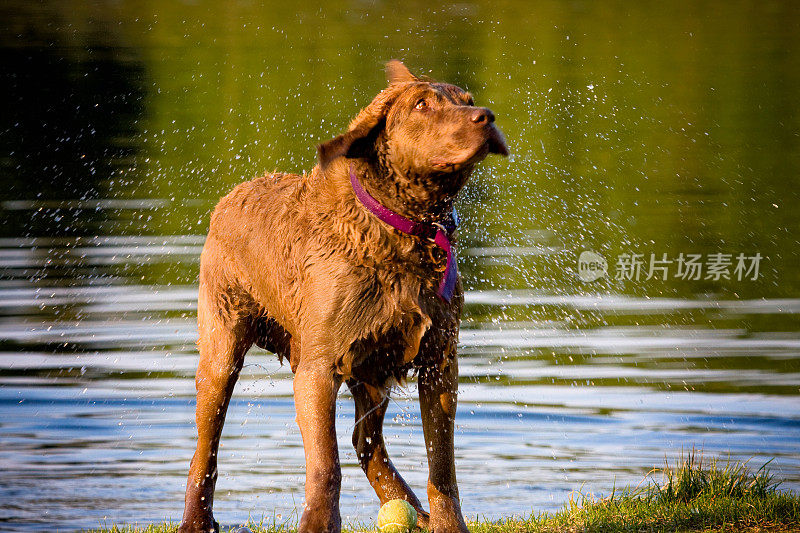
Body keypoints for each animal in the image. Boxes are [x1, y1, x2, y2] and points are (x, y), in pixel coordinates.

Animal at [180, 60, 506, 528]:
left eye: (467, 100)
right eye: (422, 105)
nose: (487, 116)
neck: (401, 233)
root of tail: (229, 197)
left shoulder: (440, 360)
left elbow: (442, 464)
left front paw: (448, 524)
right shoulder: (317, 370)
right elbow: (325, 463)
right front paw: (318, 524)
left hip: (372, 370)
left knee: (365, 441)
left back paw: (410, 508)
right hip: (222, 348)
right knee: (204, 447)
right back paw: (196, 520)